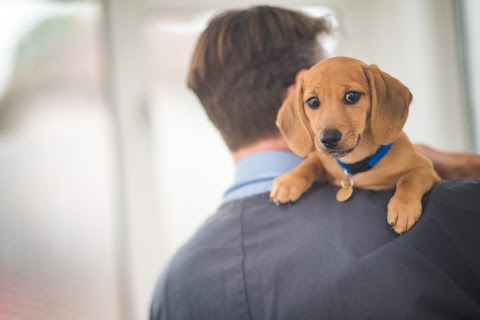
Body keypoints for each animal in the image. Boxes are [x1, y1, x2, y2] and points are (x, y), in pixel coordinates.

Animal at [270, 56, 438, 234]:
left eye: (352, 96)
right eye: (313, 101)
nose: (328, 139)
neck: (356, 162)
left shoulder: (426, 168)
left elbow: (409, 180)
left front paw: (403, 208)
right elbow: (310, 163)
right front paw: (289, 181)